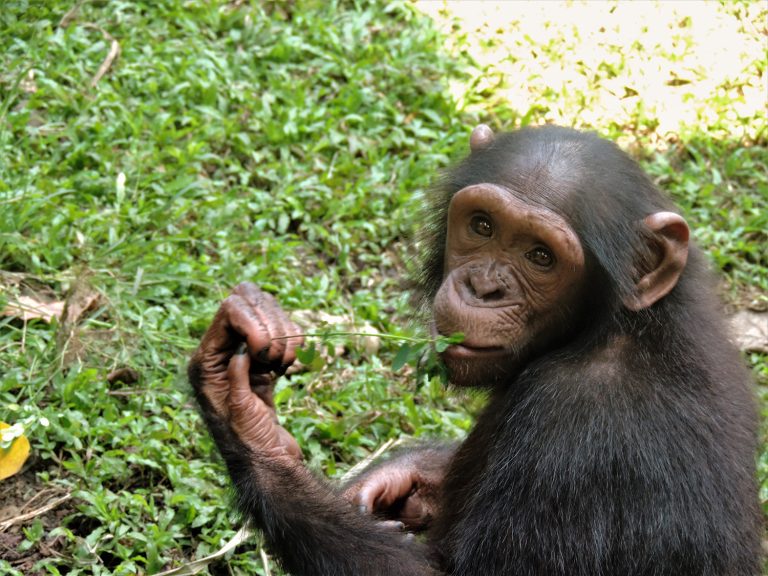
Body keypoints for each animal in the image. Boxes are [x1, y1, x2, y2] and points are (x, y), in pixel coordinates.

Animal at [188, 127, 760, 576]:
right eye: (482, 225)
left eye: (541, 256)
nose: (484, 287)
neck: (605, 330)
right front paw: (403, 480)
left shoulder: (576, 423)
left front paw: (246, 418)